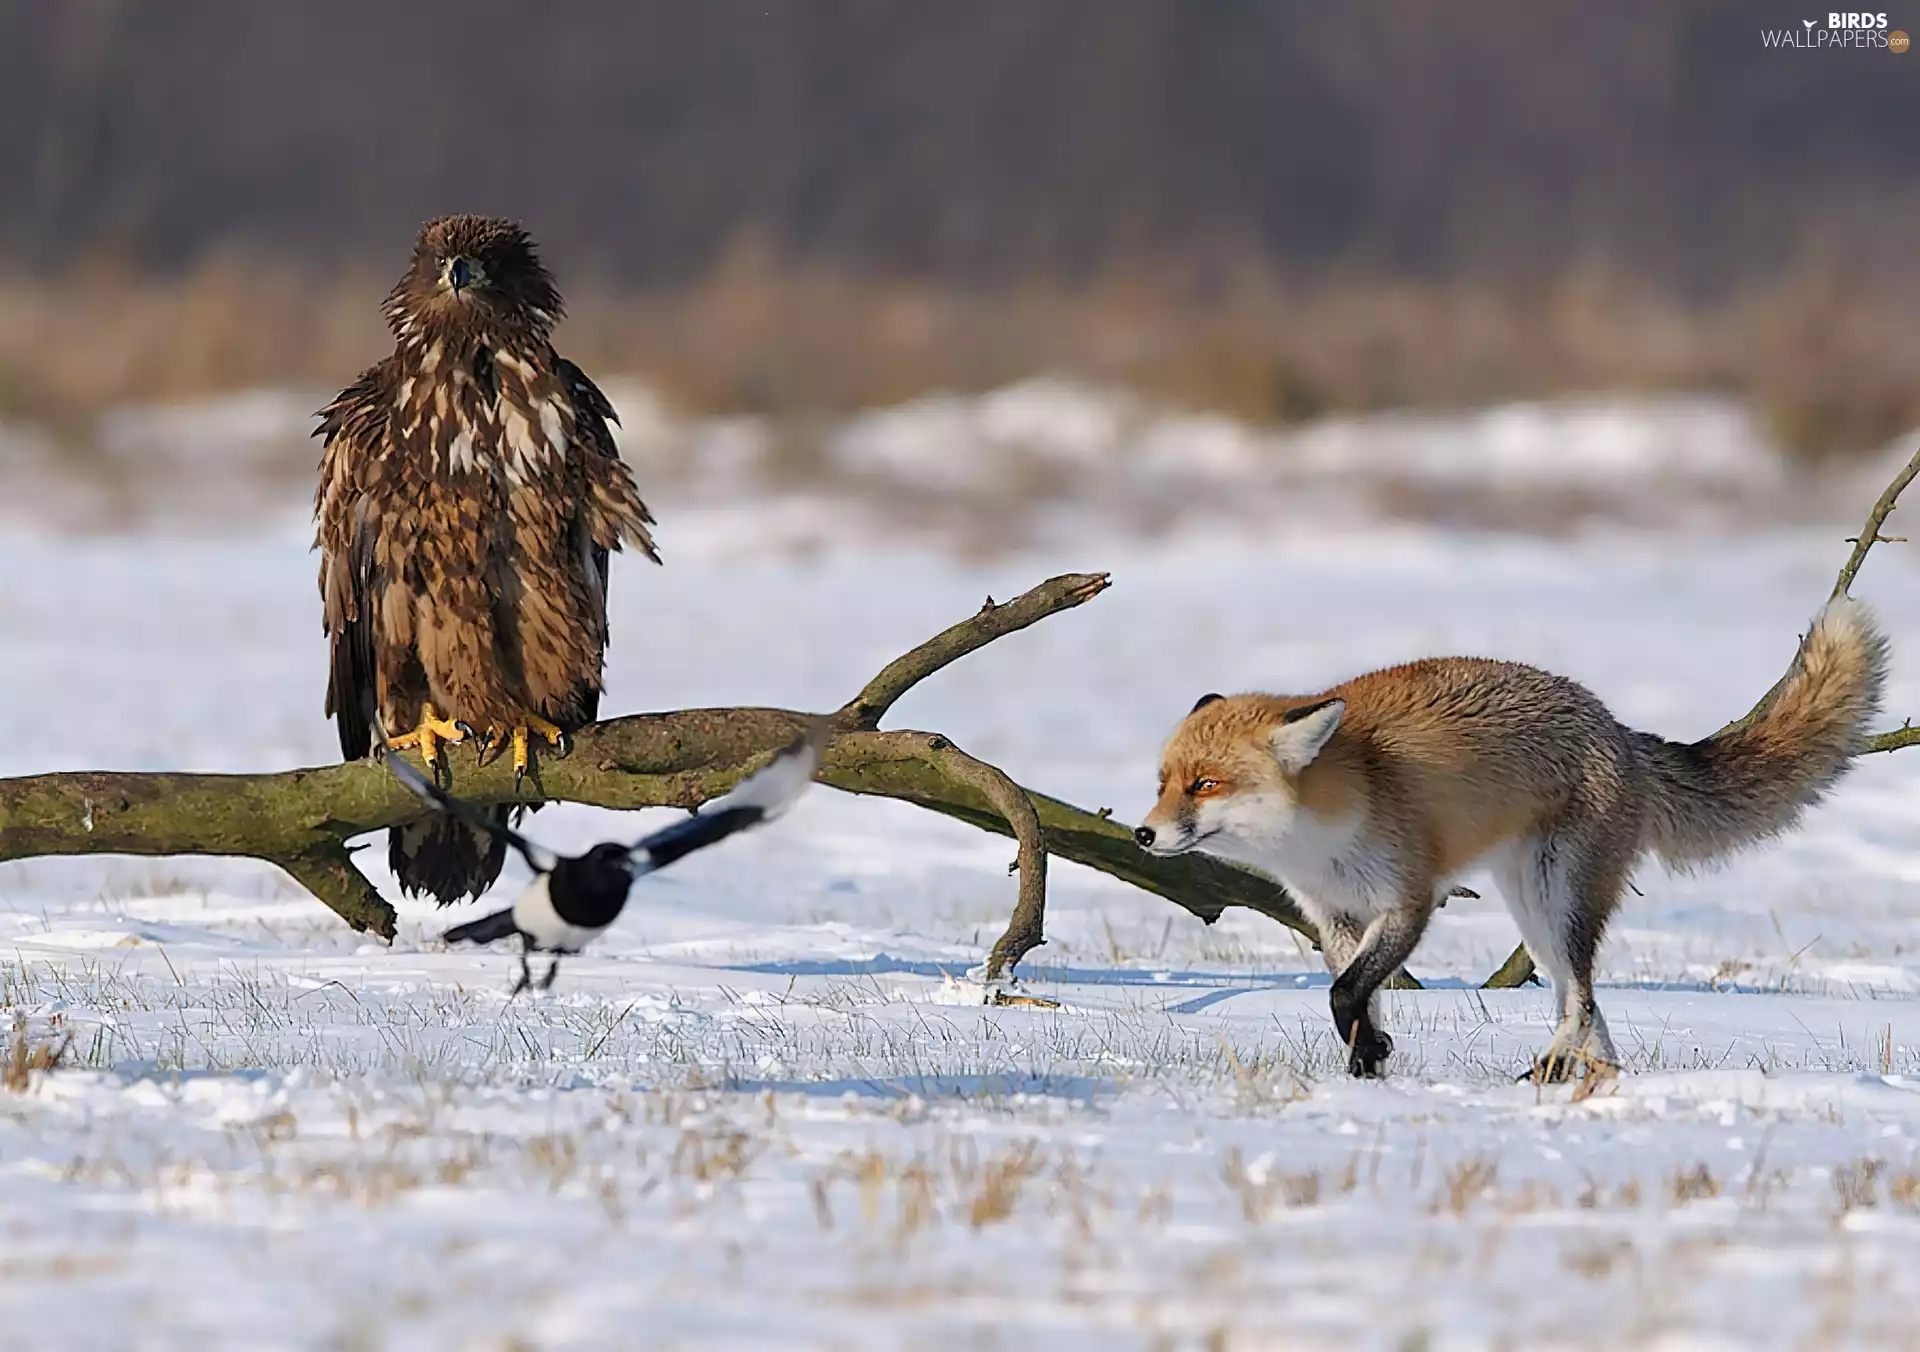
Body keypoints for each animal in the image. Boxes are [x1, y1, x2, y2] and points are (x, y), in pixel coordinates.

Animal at [1134, 597, 1888, 1081]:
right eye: (1164, 781)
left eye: (1205, 784)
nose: (1142, 833)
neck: (1322, 833)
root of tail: (1621, 731)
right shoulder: (1335, 915)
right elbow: (1356, 998)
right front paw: (1369, 1059)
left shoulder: (1408, 901)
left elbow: (1346, 994)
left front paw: (1369, 1056)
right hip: (1533, 911)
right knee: (1588, 1007)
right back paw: (1591, 1077)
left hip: (1560, 900)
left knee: (1580, 998)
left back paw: (1559, 1065)